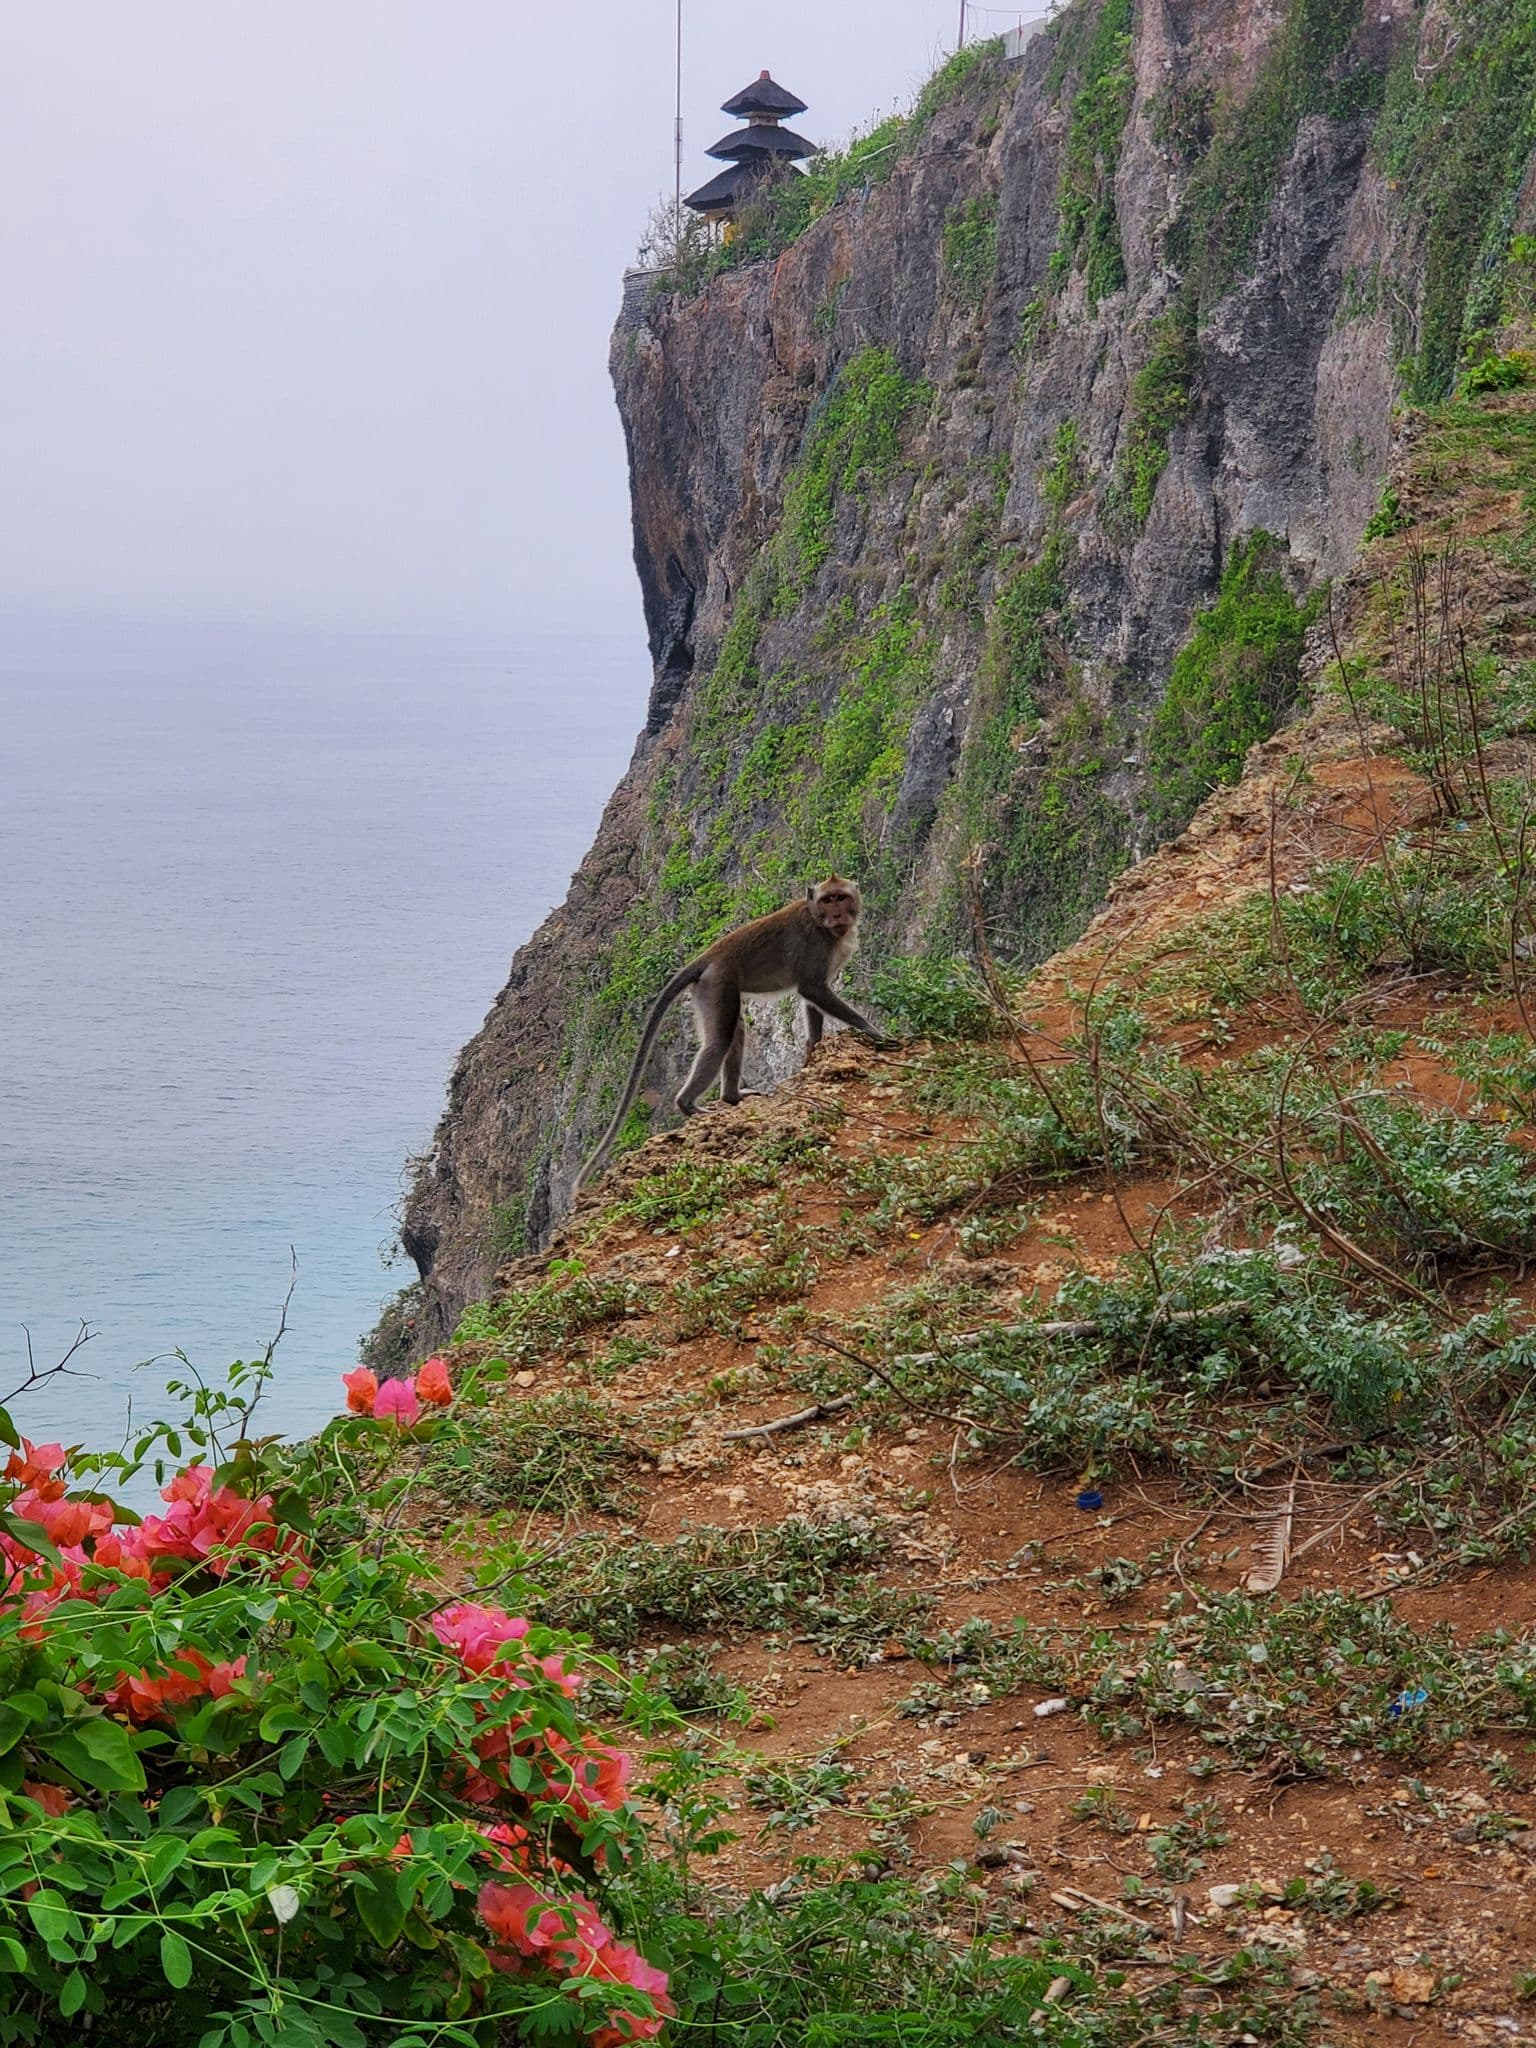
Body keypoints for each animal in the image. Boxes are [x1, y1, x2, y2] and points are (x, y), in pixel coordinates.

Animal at [576, 877, 886, 1191]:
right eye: (827, 900)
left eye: (840, 897)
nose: (837, 914)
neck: (819, 921)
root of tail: (710, 955)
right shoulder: (815, 945)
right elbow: (812, 988)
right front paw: (874, 1033)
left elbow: (812, 1000)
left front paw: (814, 1050)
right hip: (716, 983)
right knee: (720, 1040)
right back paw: (689, 1106)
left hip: (711, 988)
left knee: (735, 1031)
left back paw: (731, 1097)